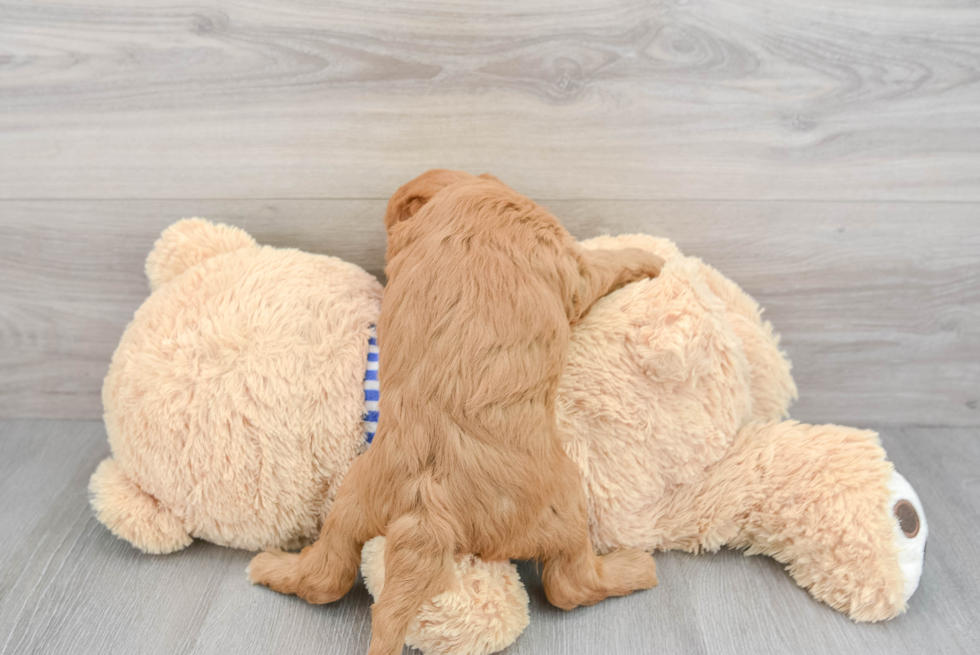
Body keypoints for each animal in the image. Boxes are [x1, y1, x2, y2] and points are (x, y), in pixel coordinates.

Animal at [249, 170, 664, 655]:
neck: (472, 199)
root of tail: (426, 505)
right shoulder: (570, 265)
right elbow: (602, 264)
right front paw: (646, 257)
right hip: (564, 503)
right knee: (570, 584)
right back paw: (635, 568)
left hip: (351, 503)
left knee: (325, 575)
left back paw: (268, 566)